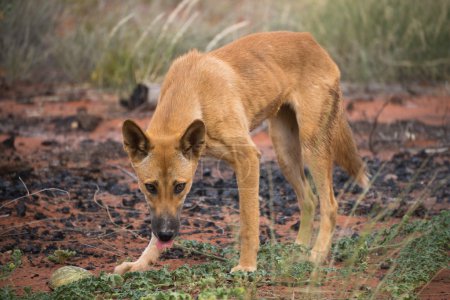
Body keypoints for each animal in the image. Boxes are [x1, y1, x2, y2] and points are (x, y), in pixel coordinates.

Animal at [114, 31, 368, 274]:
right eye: (149, 187)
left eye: (180, 186)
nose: (166, 234)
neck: (193, 91)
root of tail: (312, 41)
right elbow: (152, 233)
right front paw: (140, 263)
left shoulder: (247, 158)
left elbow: (248, 222)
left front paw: (247, 266)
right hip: (284, 153)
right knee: (309, 200)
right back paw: (299, 250)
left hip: (311, 147)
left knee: (330, 205)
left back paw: (316, 255)